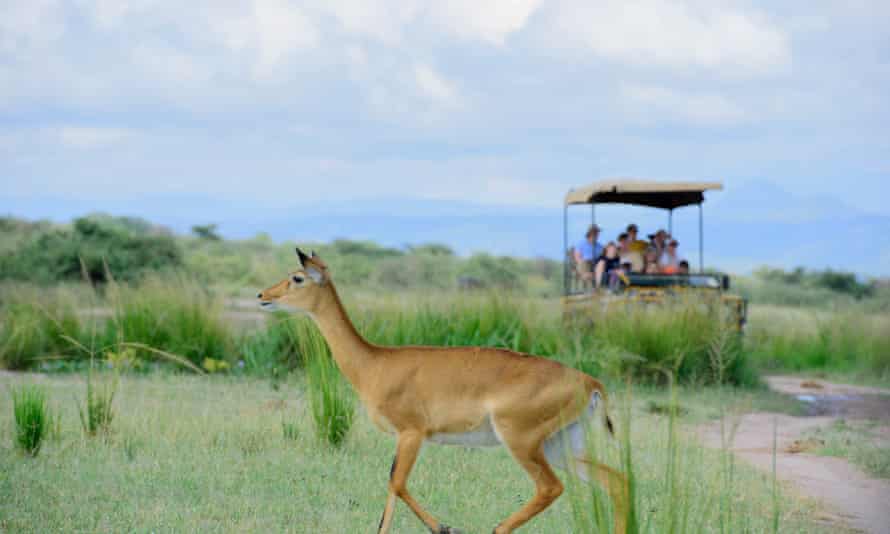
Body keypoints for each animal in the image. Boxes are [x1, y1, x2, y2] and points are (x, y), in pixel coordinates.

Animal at [256, 251, 628, 534]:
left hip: (522, 441)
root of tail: (590, 383)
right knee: (615, 481)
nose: (262, 296)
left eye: (297, 277)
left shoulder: (412, 433)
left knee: (551, 488)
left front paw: (446, 528)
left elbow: (396, 483)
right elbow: (390, 491)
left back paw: (497, 528)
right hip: (560, 445)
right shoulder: (405, 437)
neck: (375, 364)